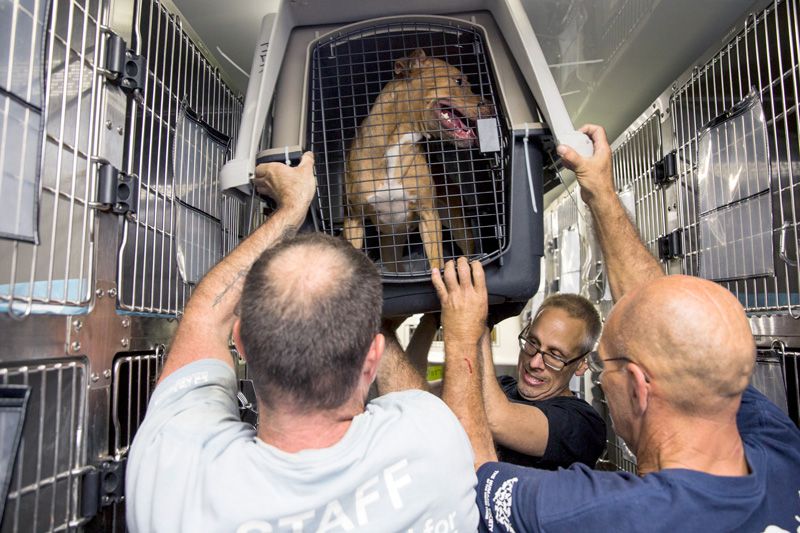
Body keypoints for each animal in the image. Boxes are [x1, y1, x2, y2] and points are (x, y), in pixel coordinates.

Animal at [340, 48, 490, 272]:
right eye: (459, 81)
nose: (490, 106)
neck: (397, 144)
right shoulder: (354, 220)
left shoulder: (429, 216)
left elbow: (437, 262)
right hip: (390, 245)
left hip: (458, 224)